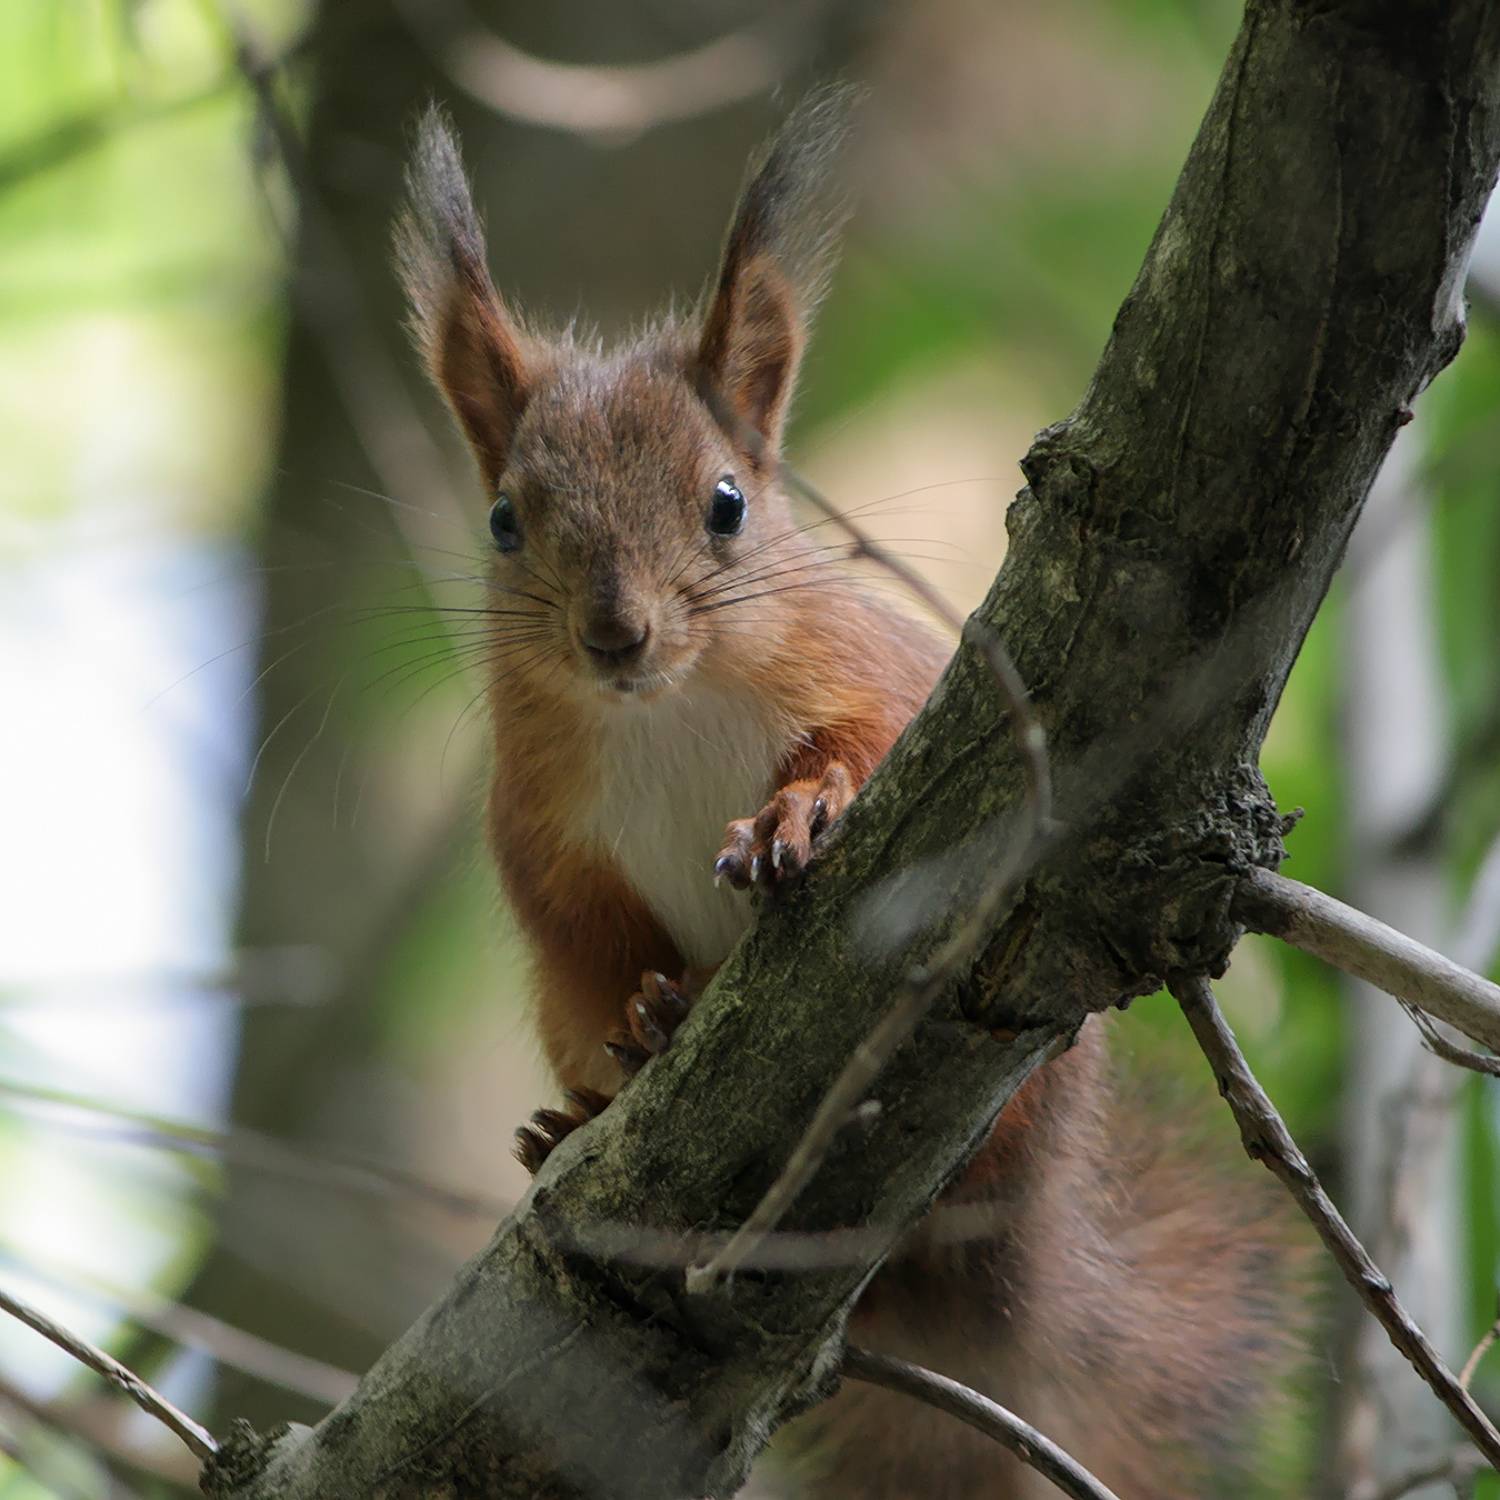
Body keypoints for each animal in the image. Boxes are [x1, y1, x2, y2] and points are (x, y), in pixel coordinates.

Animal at [397, 88, 1299, 1500]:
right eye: (503, 520)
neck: (662, 713)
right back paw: (580, 1112)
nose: (614, 634)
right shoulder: (540, 827)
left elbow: (867, 748)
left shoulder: (878, 674)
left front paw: (795, 816)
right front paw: (642, 1017)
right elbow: (583, 934)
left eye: (727, 503)